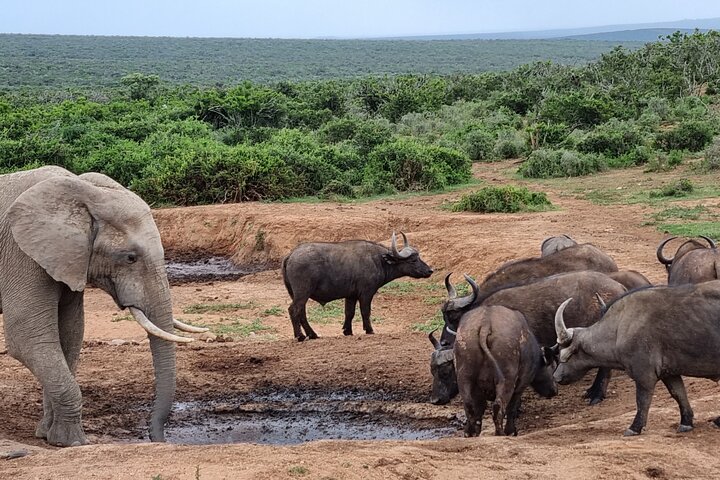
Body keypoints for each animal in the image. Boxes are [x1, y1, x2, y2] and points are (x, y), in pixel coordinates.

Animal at [0, 166, 205, 447]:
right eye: (130, 258)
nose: (159, 440)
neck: (84, 192)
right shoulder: (20, 254)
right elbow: (28, 340)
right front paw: (72, 443)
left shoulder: (67, 261)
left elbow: (70, 335)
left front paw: (48, 437)